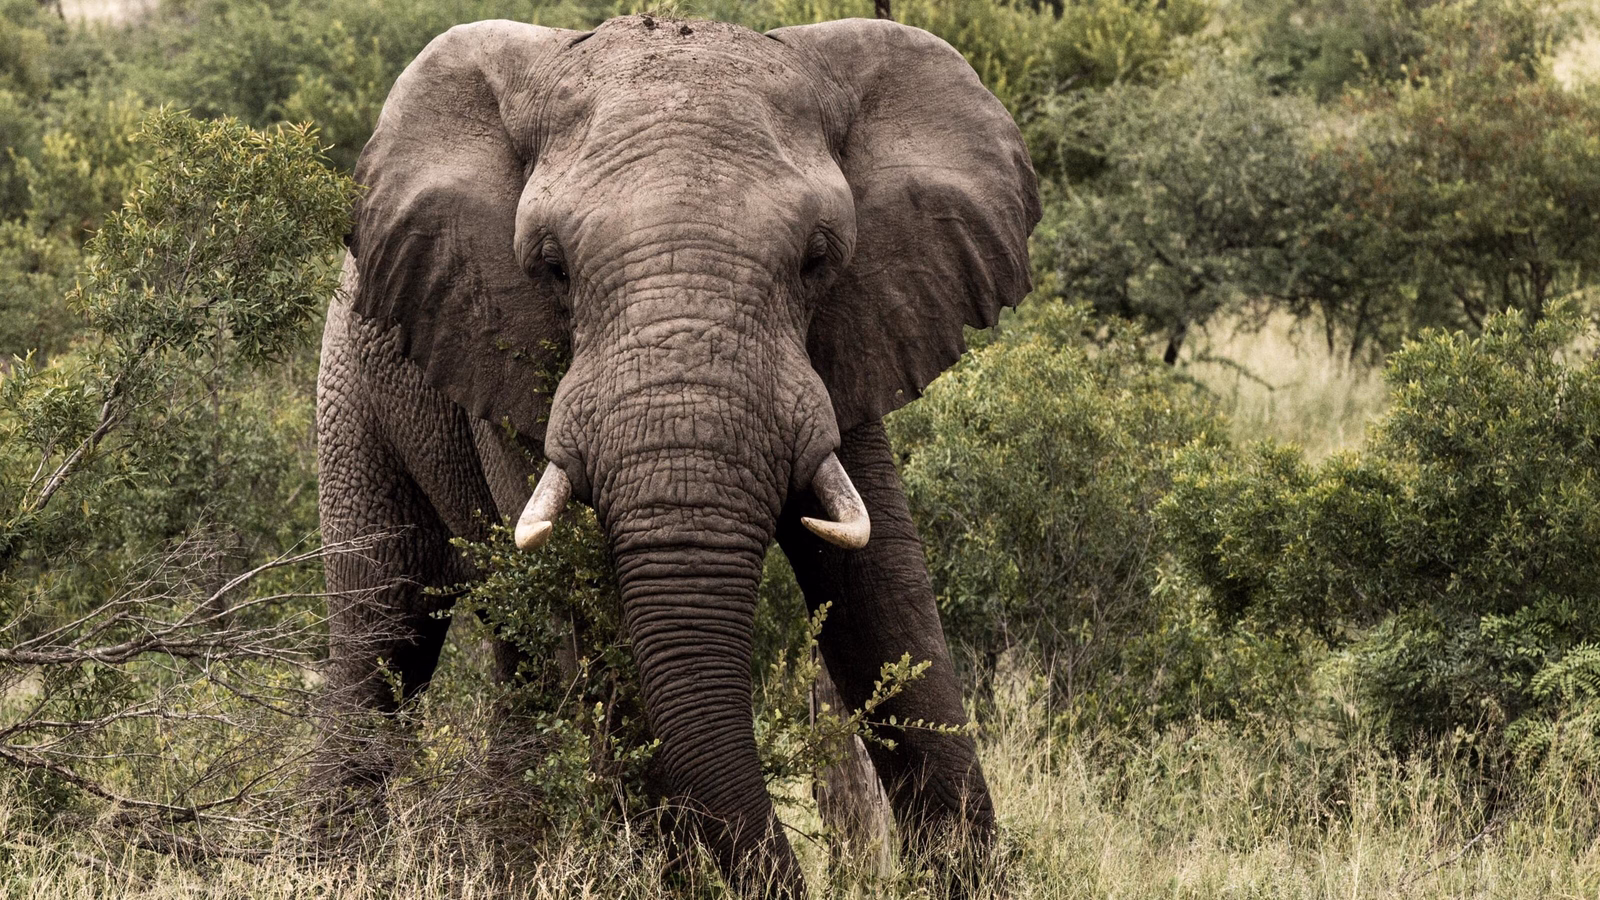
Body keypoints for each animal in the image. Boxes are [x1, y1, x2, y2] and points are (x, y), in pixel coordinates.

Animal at [314, 13, 1039, 896]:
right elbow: (603, 616)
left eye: (819, 259)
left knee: (519, 663)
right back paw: (336, 865)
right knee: (383, 633)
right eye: (550, 266)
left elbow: (884, 590)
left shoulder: (855, 342)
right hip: (353, 388)